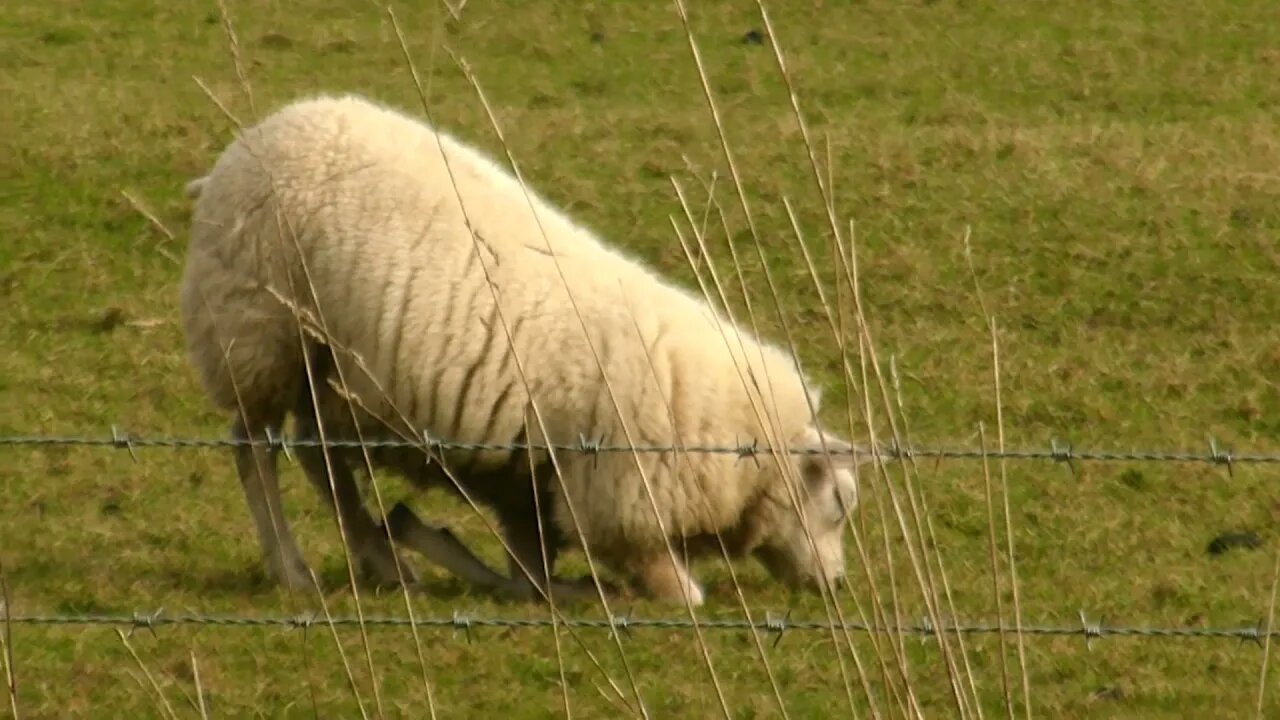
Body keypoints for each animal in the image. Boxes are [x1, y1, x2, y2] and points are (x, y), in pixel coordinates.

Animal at [179, 92, 863, 606]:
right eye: (838, 505)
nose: (835, 585)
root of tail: (248, 142)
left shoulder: (532, 475)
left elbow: (529, 571)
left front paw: (446, 547)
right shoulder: (617, 500)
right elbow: (670, 591)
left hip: (322, 368)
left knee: (319, 456)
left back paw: (383, 558)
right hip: (257, 337)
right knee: (254, 452)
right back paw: (294, 568)